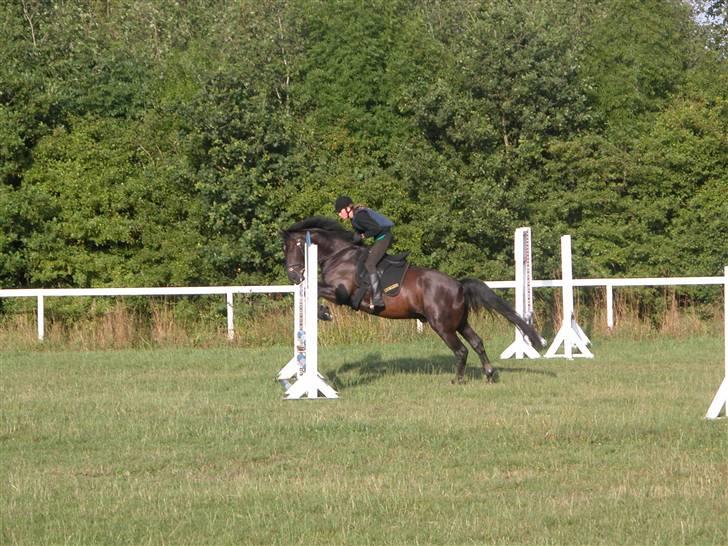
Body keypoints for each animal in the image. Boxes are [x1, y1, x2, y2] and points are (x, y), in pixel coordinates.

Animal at [282, 217, 544, 382]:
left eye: (292, 247)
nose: (293, 276)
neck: (339, 255)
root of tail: (459, 285)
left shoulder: (341, 293)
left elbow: (316, 290)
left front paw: (323, 312)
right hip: (459, 322)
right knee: (477, 342)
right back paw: (488, 374)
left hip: (442, 325)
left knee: (461, 350)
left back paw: (457, 380)